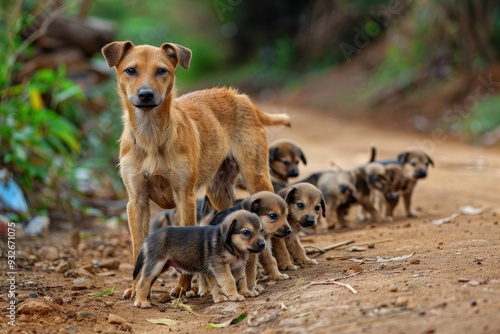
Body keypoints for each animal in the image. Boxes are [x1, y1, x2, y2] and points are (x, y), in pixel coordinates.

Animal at [100, 41, 290, 298]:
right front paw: (135, 287)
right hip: (218, 191)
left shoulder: (184, 197)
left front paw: (183, 286)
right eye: (130, 70)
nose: (146, 95)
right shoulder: (136, 201)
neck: (151, 137)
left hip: (256, 176)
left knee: (275, 224)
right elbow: (138, 247)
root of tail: (241, 97)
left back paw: (282, 265)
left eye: (161, 71)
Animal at [127, 211, 266, 308]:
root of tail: (148, 238)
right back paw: (141, 301)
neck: (228, 244)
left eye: (261, 231)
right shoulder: (220, 266)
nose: (263, 244)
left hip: (162, 266)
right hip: (156, 264)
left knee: (147, 281)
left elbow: (240, 280)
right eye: (246, 232)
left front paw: (245, 292)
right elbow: (229, 280)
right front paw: (235, 295)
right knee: (143, 281)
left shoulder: (237, 266)